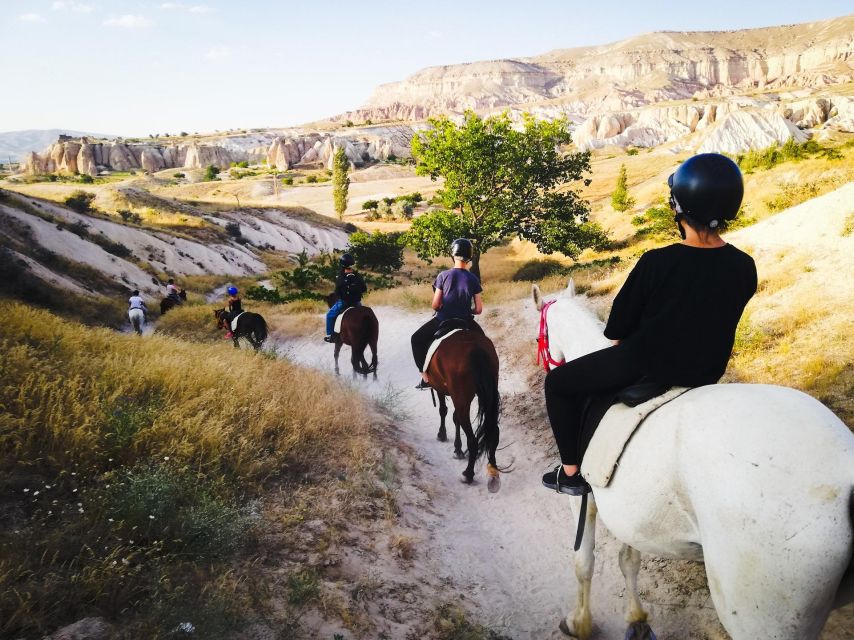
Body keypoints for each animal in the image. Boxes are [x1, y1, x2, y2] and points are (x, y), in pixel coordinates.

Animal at [428, 328, 502, 492]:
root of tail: (475, 349)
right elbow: (454, 417)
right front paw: (458, 449)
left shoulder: (441, 389)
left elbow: (443, 410)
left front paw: (442, 435)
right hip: (488, 393)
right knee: (493, 432)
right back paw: (493, 474)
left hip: (461, 396)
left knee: (472, 439)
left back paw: (468, 474)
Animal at [532, 280, 852, 640]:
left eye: (540, 336)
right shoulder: (630, 516)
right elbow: (628, 560)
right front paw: (636, 619)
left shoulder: (582, 499)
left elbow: (583, 562)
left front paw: (580, 622)